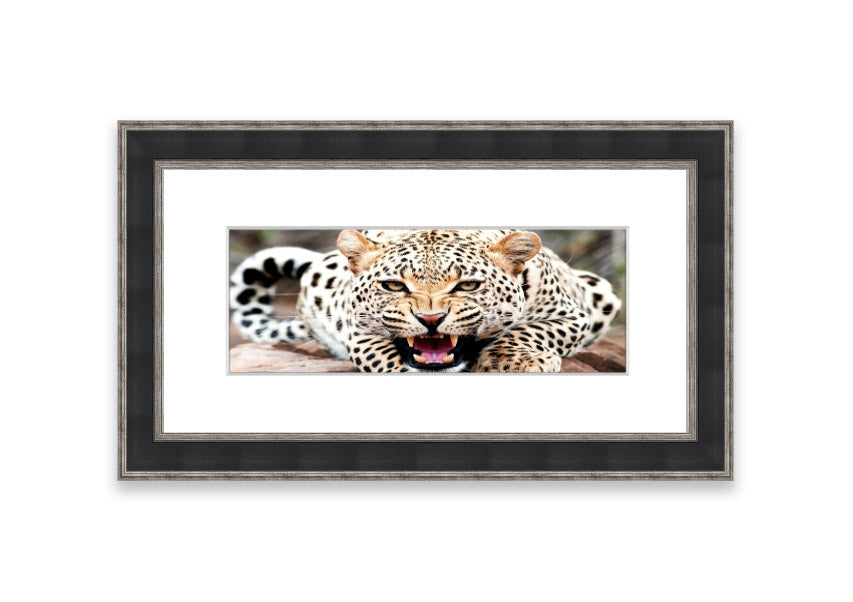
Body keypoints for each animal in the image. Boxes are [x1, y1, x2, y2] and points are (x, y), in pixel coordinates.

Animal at [230, 229, 621, 373]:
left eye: (467, 285)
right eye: (393, 285)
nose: (430, 320)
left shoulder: (574, 314)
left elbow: (530, 331)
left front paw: (514, 361)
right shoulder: (358, 332)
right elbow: (384, 358)